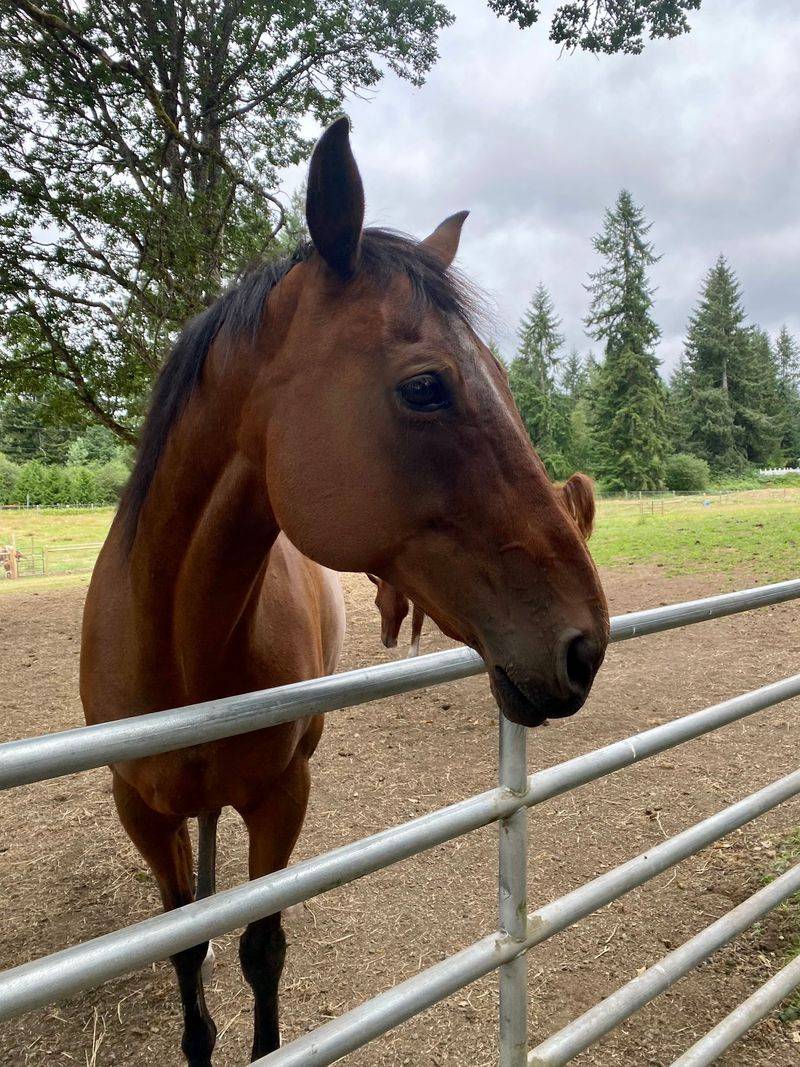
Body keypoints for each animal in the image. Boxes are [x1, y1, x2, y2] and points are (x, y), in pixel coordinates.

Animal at [80, 116, 609, 1066]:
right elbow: (183, 947)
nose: (586, 643)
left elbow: (260, 944)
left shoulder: (283, 794)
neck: (177, 643)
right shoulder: (137, 808)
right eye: (425, 385)